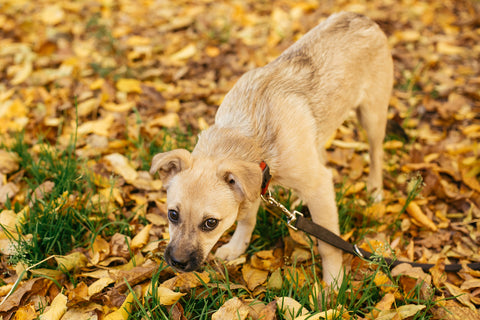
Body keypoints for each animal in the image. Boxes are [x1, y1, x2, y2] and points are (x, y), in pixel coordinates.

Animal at [151, 11, 394, 284]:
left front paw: (333, 281)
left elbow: (328, 245)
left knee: (376, 152)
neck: (249, 134)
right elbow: (246, 220)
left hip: (372, 116)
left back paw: (374, 189)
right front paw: (237, 248)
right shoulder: (255, 185)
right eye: (172, 215)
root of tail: (359, 16)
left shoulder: (317, 186)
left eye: (210, 223)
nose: (177, 263)